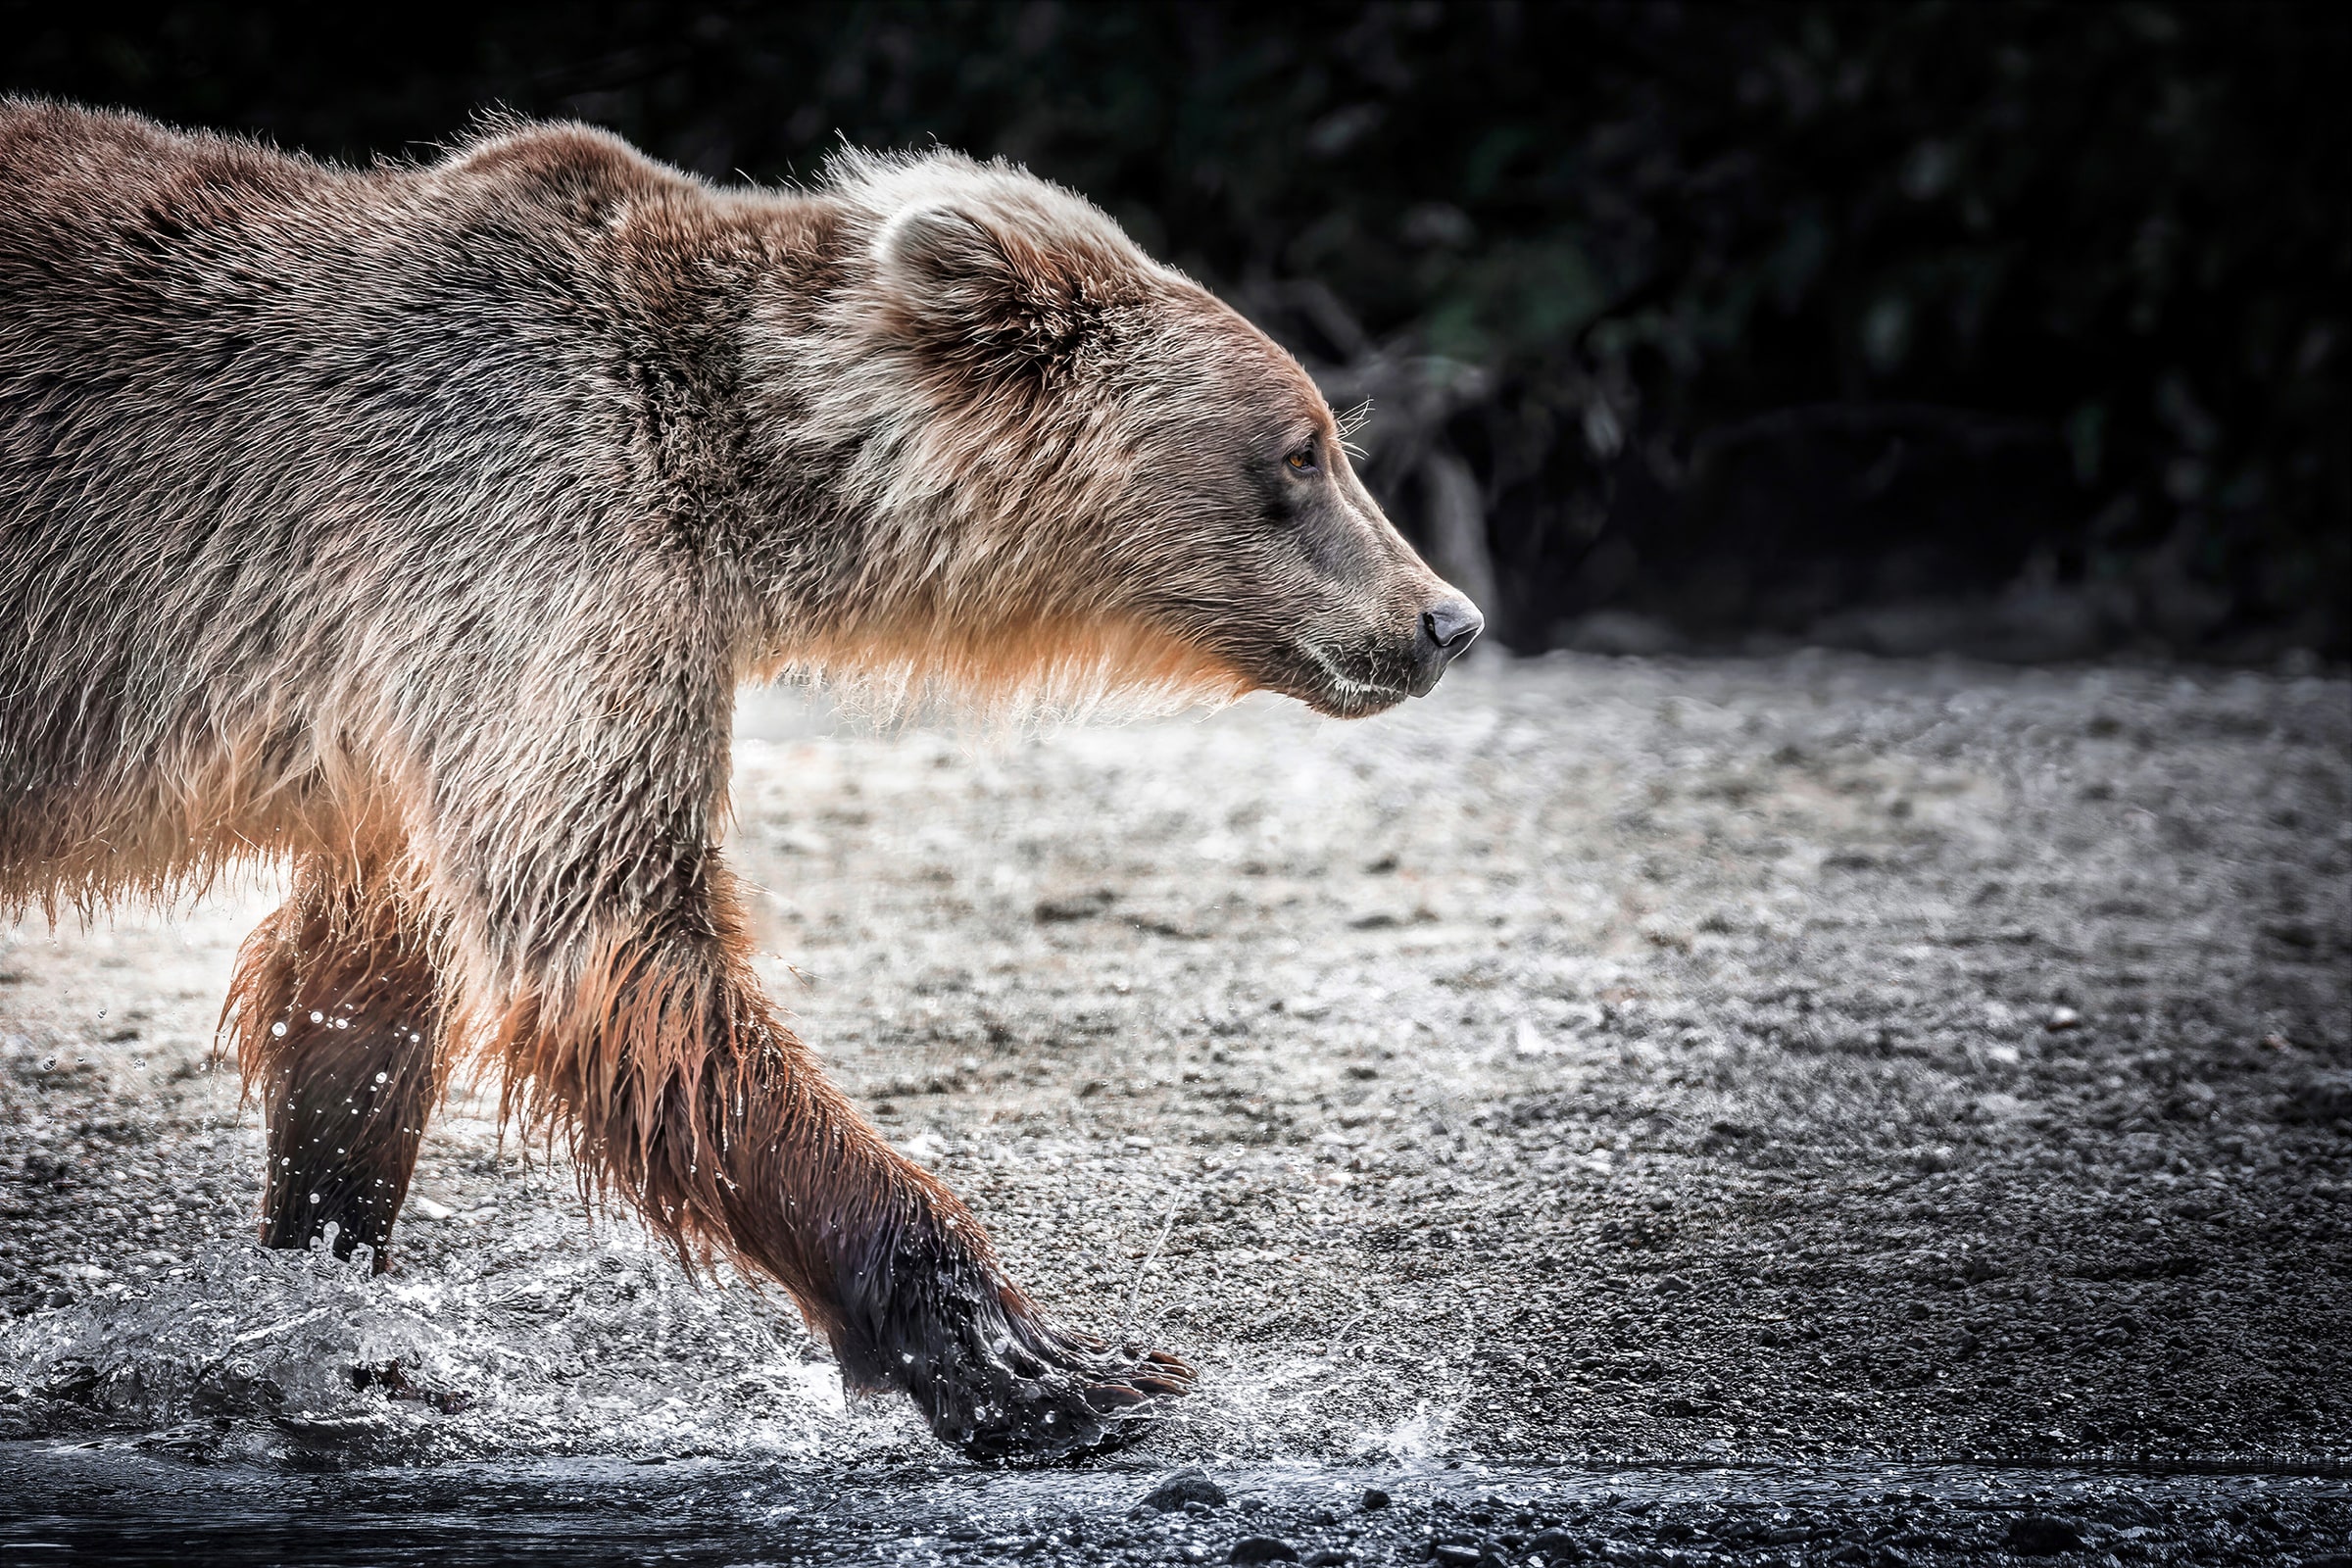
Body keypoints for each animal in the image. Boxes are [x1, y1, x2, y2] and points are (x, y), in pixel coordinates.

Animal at [0, 100, 1483, 1460]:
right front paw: (1049, 1366)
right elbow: (616, 941)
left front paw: (327, 1303)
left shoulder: (405, 703)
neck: (745, 494)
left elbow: (362, 992)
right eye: (1302, 452)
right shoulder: (520, 543)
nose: (1445, 617)